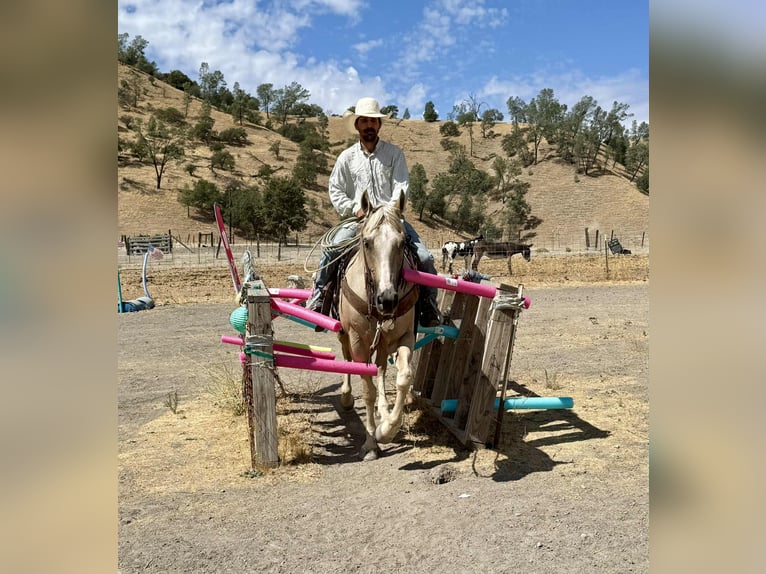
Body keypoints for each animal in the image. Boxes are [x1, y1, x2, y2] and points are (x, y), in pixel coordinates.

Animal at [337, 190, 420, 461]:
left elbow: (403, 377)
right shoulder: (358, 342)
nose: (387, 299)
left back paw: (384, 411)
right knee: (347, 360)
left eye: (403, 242)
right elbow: (368, 389)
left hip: (384, 341)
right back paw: (346, 397)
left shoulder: (404, 336)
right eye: (367, 242)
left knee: (382, 368)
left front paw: (387, 429)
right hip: (345, 335)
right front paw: (371, 443)